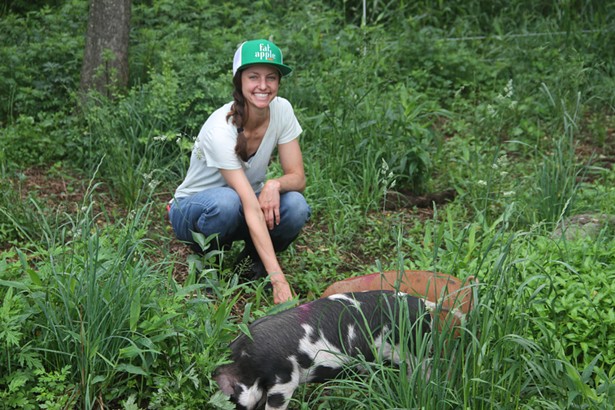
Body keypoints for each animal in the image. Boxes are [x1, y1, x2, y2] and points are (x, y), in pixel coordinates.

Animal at [214, 290, 436, 408]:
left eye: (232, 397)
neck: (247, 365)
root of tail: (422, 304)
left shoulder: (284, 380)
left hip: (416, 350)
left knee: (423, 371)